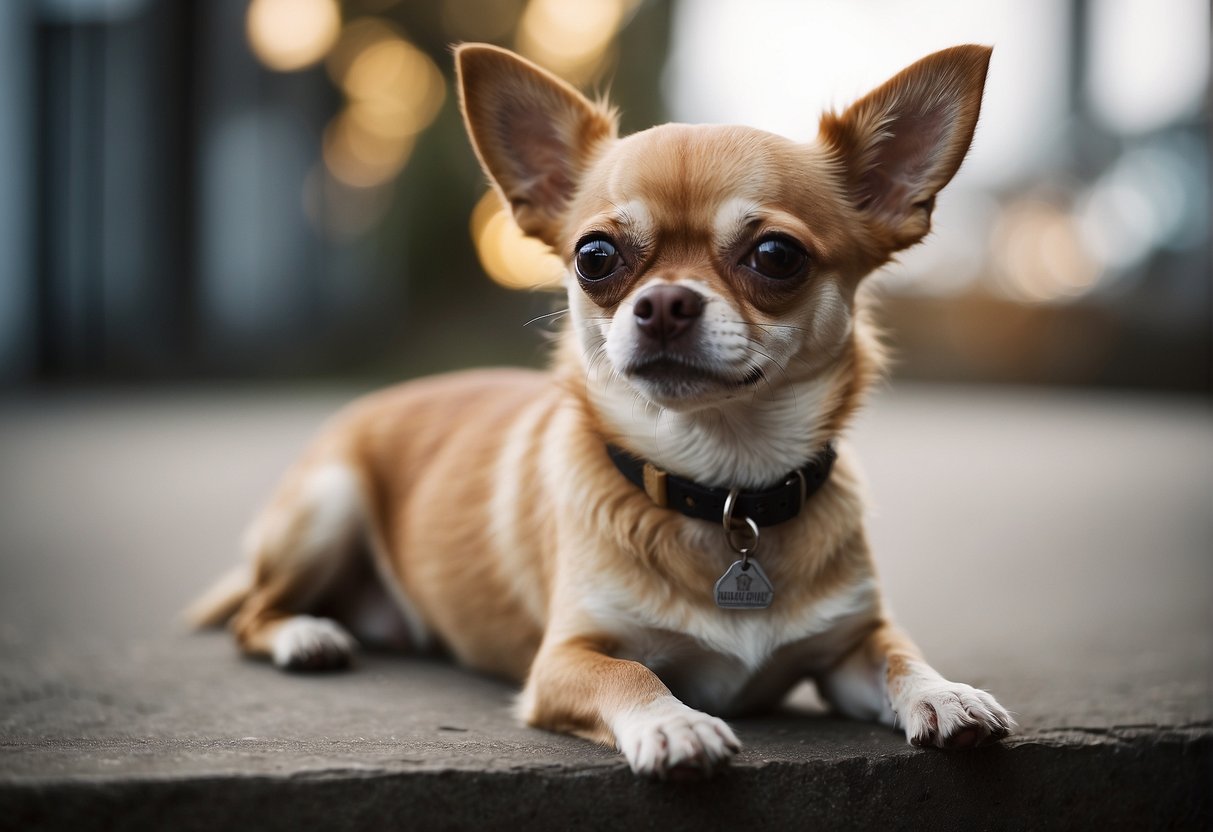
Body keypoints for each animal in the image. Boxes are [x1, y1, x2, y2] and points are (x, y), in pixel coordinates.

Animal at [191, 43, 1014, 776]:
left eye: (777, 256)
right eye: (595, 257)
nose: (664, 302)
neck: (724, 489)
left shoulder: (847, 645)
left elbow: (897, 653)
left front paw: (945, 693)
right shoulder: (562, 660)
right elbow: (632, 672)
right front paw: (675, 724)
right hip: (328, 504)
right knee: (250, 614)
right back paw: (306, 635)